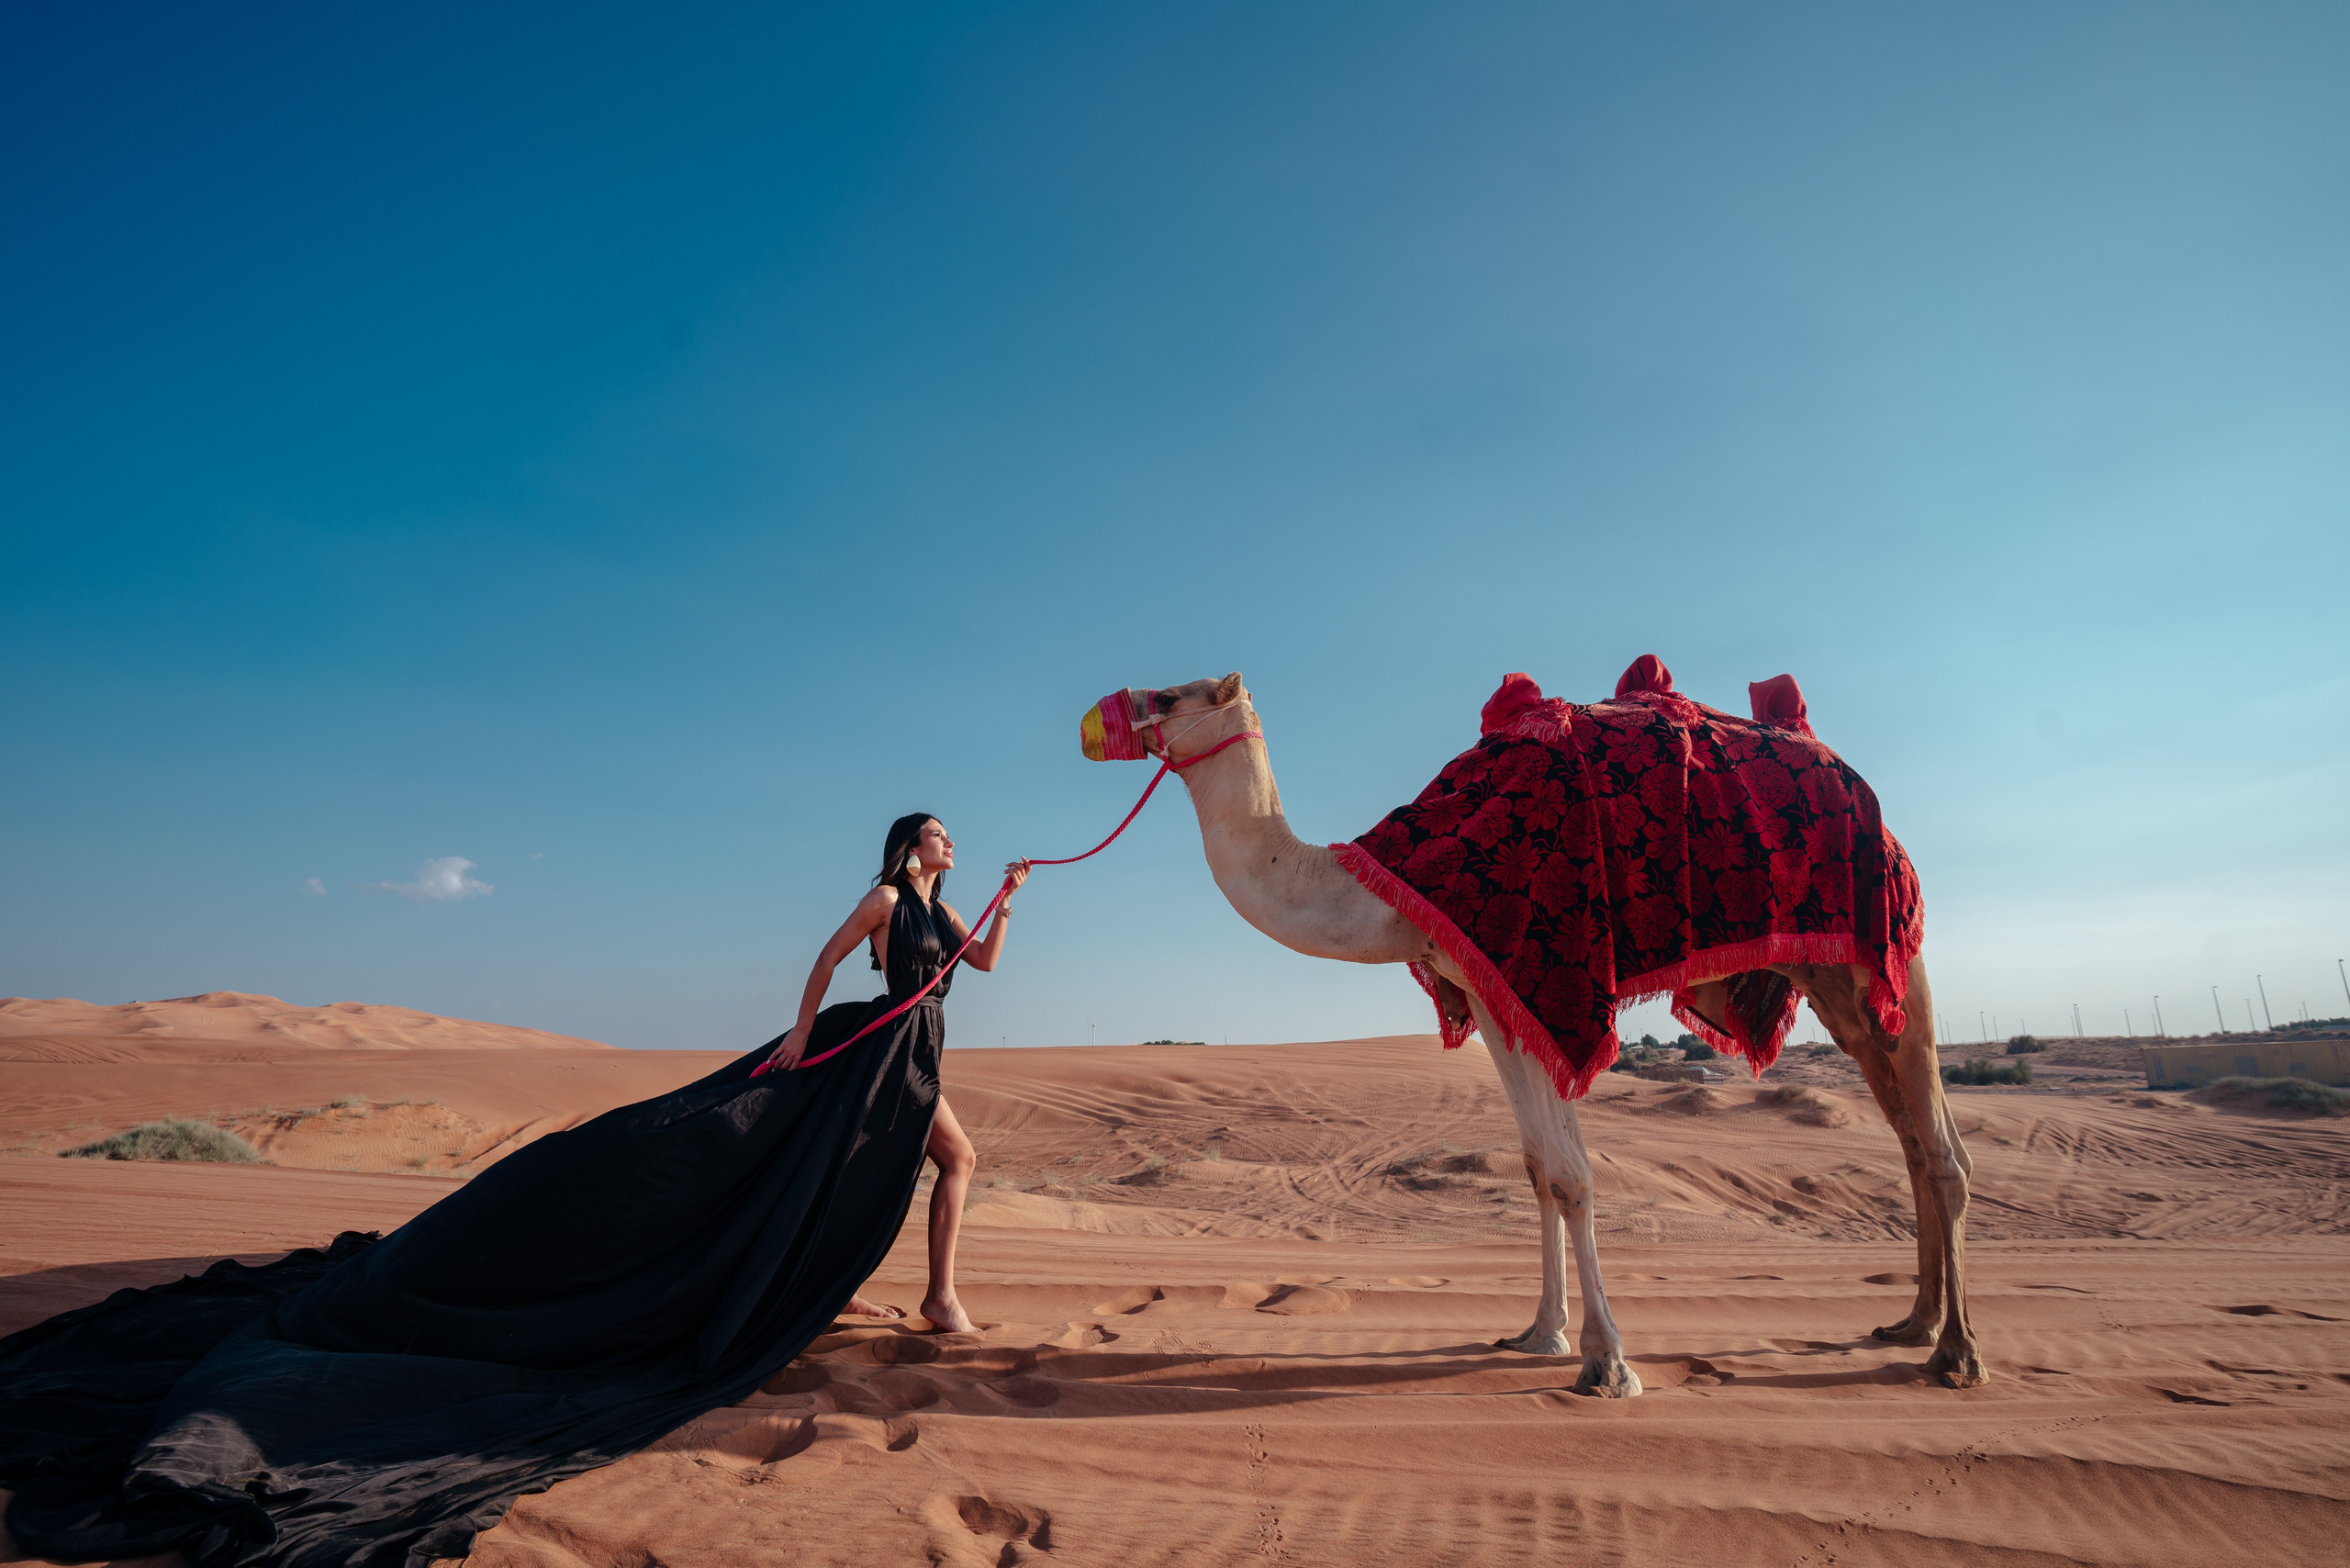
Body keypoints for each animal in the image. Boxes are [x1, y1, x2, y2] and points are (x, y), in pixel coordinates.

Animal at [1078, 671, 1985, 1395]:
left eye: (1171, 695)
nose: (1095, 718)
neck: (1388, 880)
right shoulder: (1496, 996)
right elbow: (1538, 1170)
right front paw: (1540, 1333)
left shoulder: (1551, 976)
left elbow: (1574, 1176)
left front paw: (1608, 1364)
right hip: (1838, 987)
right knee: (1910, 1139)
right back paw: (1911, 1323)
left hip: (1889, 953)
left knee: (1943, 1151)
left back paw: (1956, 1354)